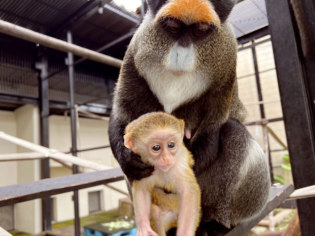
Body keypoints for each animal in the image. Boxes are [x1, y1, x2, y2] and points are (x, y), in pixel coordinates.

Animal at [109, 0, 272, 234]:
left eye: (200, 30)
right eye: (173, 27)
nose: (182, 53)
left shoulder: (227, 60)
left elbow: (214, 127)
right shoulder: (134, 53)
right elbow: (122, 115)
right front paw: (126, 158)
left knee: (233, 131)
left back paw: (214, 224)